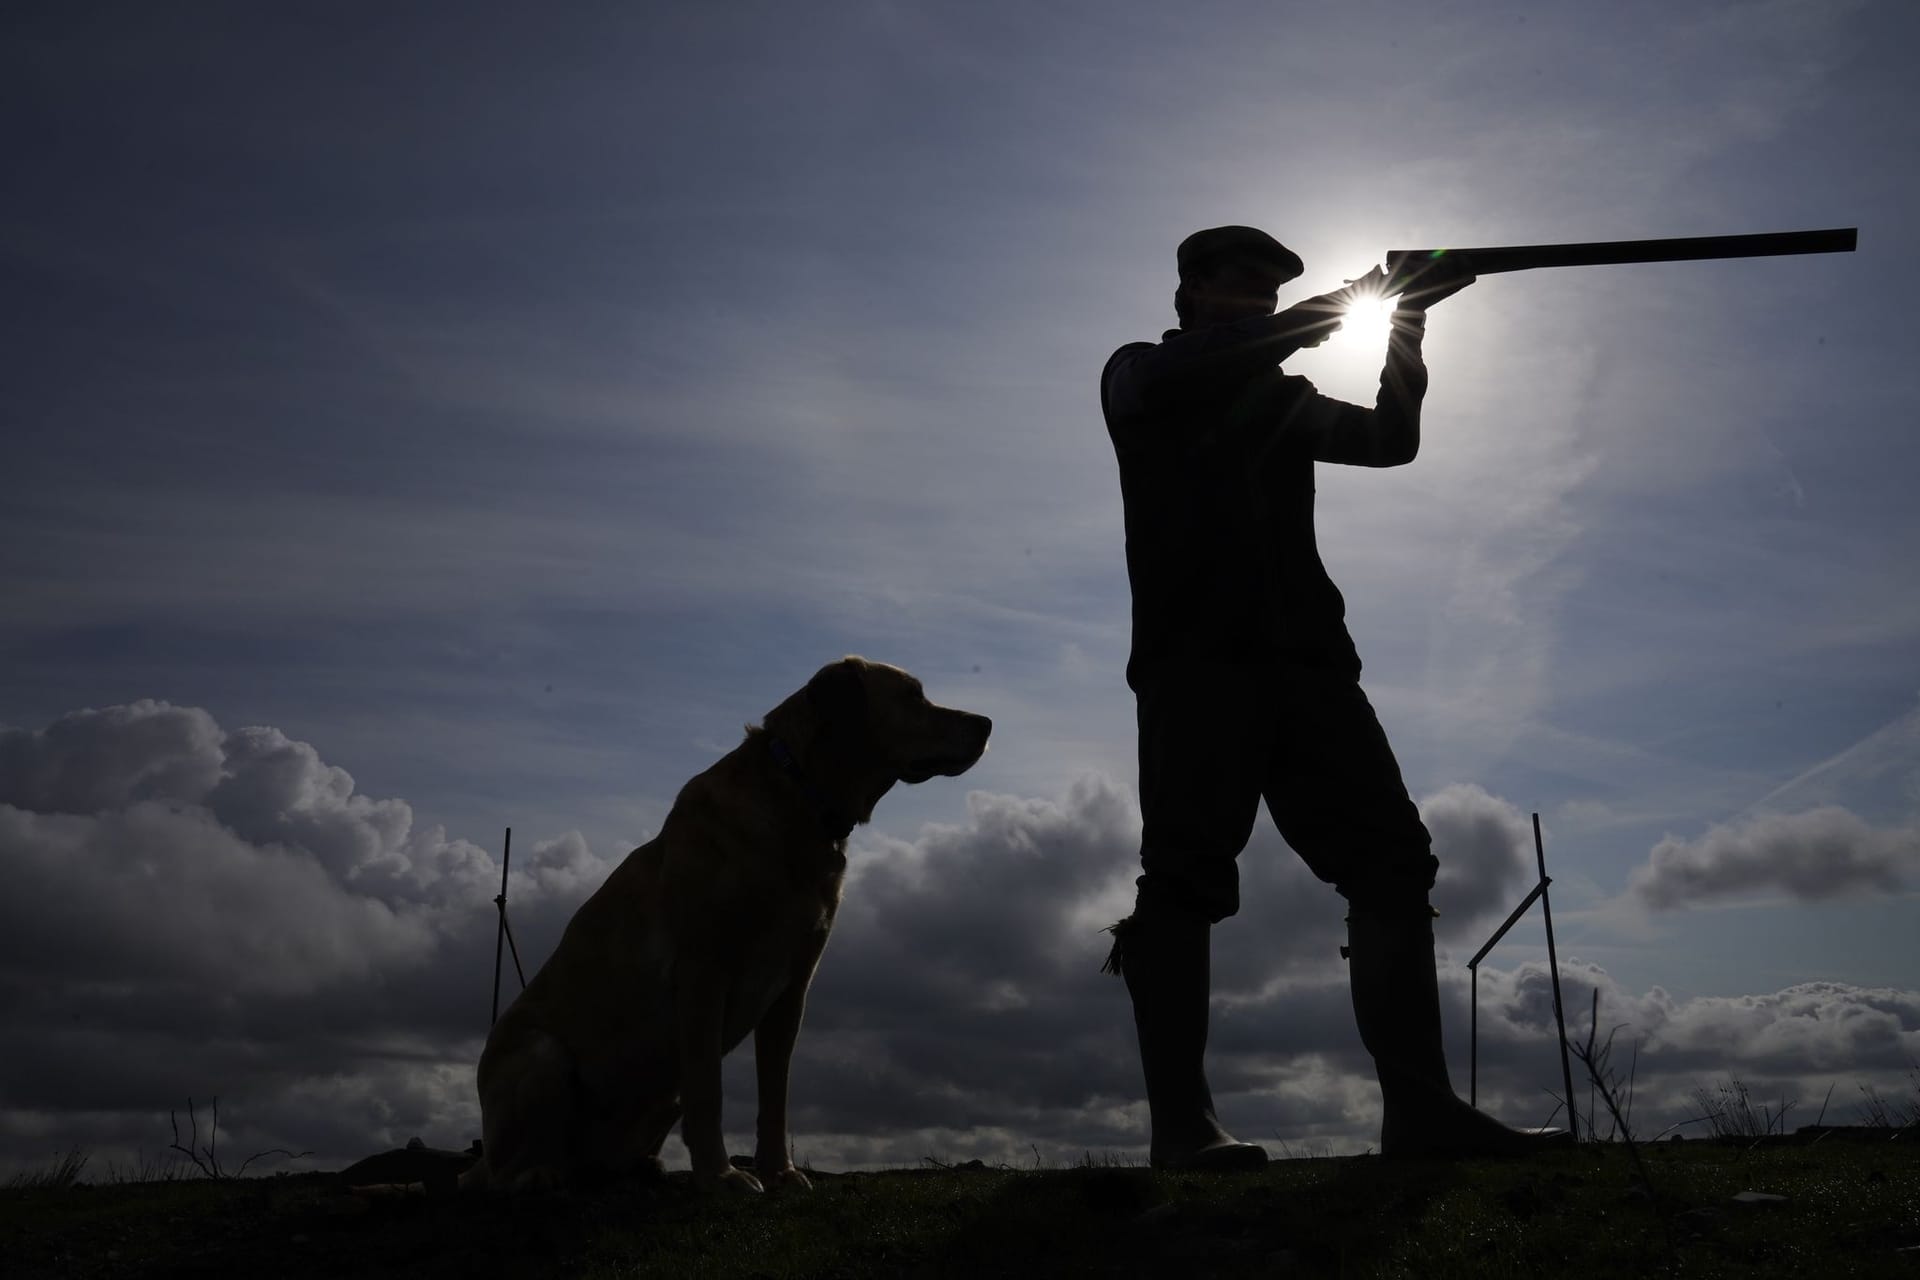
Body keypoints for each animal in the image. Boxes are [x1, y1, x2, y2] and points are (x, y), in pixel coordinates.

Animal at [455, 656, 983, 1197]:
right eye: (912, 696)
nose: (986, 724)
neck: (798, 800)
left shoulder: (792, 991)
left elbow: (776, 1095)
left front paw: (779, 1172)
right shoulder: (703, 974)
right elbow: (710, 1089)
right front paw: (722, 1175)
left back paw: (638, 1169)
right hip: (540, 1057)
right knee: (502, 1169)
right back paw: (539, 1174)